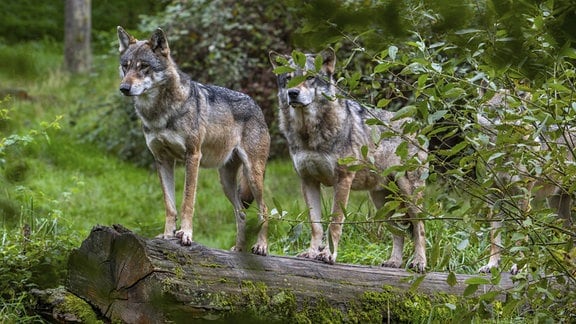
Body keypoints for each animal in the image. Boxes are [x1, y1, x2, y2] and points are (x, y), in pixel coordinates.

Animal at [117, 27, 272, 256]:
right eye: (125, 66)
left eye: (143, 66)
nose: (124, 88)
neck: (159, 113)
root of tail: (257, 105)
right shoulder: (162, 160)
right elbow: (170, 206)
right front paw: (167, 236)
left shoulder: (192, 156)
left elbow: (187, 201)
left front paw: (186, 235)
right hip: (225, 181)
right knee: (241, 214)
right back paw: (238, 250)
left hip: (253, 175)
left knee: (264, 209)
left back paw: (261, 246)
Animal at [270, 48, 428, 270]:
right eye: (288, 78)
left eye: (309, 78)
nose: (293, 93)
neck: (308, 134)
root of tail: (416, 126)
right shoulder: (308, 181)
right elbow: (316, 225)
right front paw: (311, 253)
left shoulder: (343, 179)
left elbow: (335, 223)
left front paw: (328, 255)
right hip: (382, 202)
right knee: (398, 231)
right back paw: (394, 262)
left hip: (408, 193)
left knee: (419, 226)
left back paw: (419, 262)